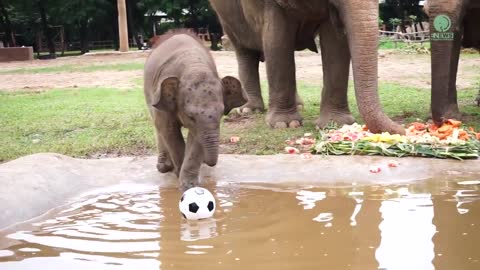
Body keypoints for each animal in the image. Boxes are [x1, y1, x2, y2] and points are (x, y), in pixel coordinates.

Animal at [144, 30, 246, 190]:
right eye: (190, 116)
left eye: (221, 114)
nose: (210, 162)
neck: (194, 66)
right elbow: (169, 130)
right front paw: (181, 178)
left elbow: (196, 138)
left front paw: (189, 184)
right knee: (158, 126)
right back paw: (164, 167)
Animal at [211, 0, 404, 134]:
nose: (404, 130)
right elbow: (277, 41)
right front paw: (285, 124)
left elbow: (336, 43)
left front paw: (336, 124)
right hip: (226, 18)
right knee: (245, 51)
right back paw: (248, 110)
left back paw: (298, 105)